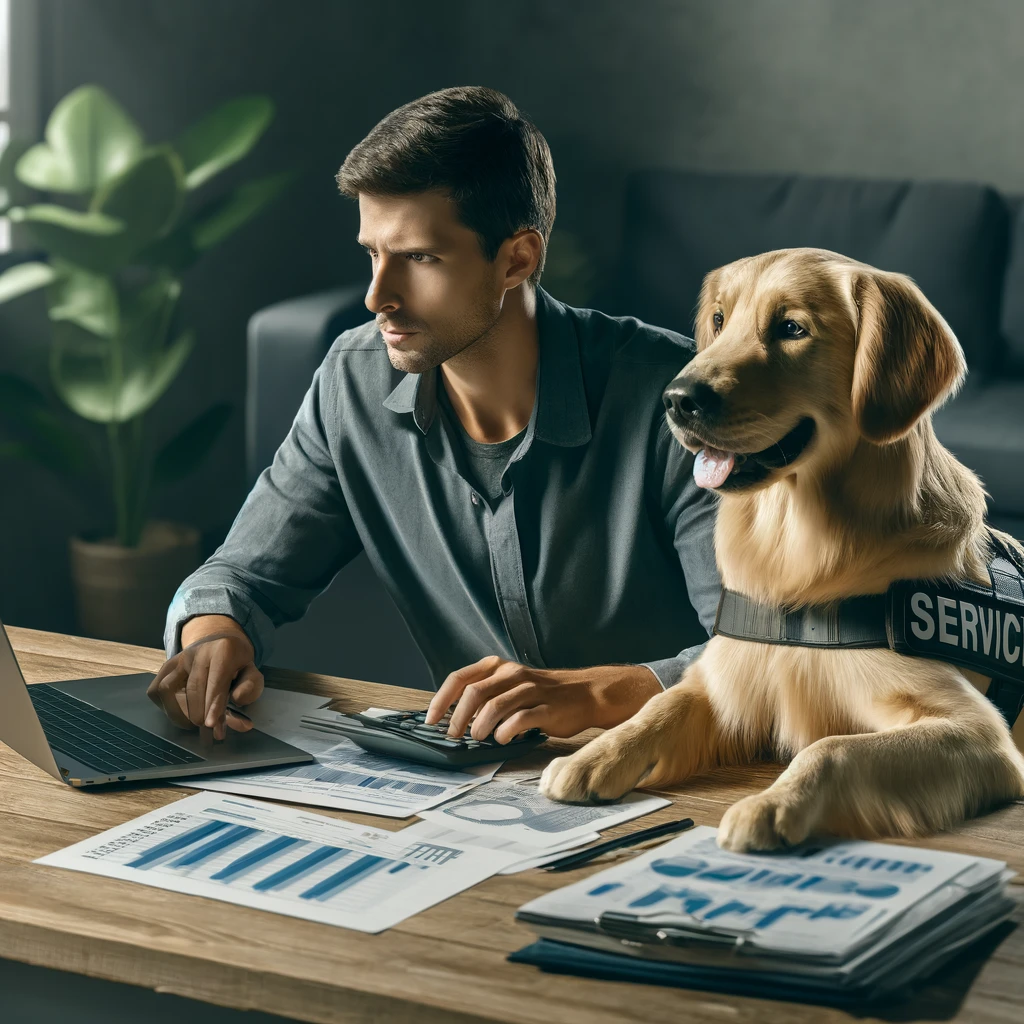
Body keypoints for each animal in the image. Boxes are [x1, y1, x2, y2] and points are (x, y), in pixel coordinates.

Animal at [540, 245, 1024, 847]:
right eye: (720, 321)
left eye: (791, 328)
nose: (676, 399)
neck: (799, 556)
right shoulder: (725, 681)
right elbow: (660, 704)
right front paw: (593, 755)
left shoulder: (979, 732)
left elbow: (829, 748)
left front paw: (772, 804)